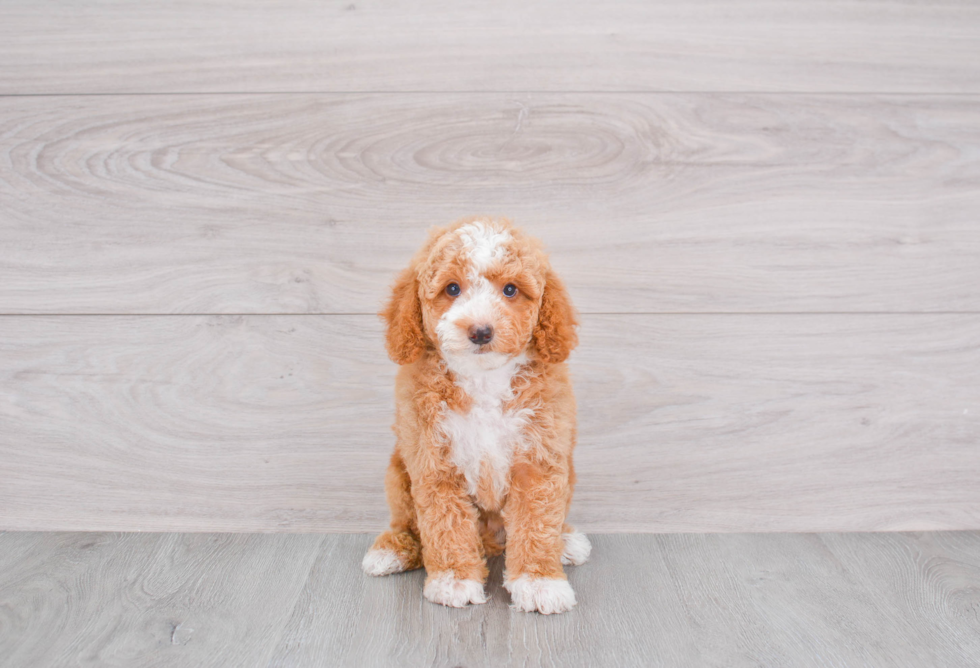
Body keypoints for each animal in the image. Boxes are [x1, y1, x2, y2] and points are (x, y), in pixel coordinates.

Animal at [360, 217, 588, 612]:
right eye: (452, 288)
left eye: (511, 290)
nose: (481, 331)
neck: (484, 380)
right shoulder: (434, 462)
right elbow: (445, 524)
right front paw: (454, 581)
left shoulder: (538, 459)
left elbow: (537, 522)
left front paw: (539, 582)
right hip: (398, 474)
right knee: (407, 523)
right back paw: (391, 550)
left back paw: (567, 541)